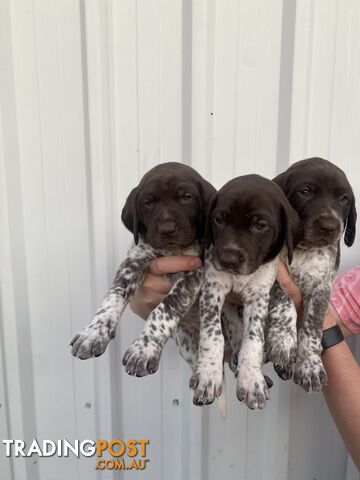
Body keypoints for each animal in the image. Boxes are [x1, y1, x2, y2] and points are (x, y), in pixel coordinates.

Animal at [71, 162, 215, 378]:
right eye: (147, 203)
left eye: (187, 197)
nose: (167, 229)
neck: (170, 251)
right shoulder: (133, 262)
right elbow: (113, 296)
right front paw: (93, 332)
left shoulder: (194, 271)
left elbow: (166, 306)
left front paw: (144, 349)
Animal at [190, 175, 300, 408]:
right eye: (218, 219)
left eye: (260, 225)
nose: (228, 259)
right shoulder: (213, 289)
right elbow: (213, 334)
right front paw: (208, 373)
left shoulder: (259, 296)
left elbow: (253, 339)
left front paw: (251, 379)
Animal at [266, 159, 356, 392]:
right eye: (305, 192)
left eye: (343, 198)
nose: (329, 226)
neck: (305, 248)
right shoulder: (273, 272)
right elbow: (283, 300)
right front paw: (283, 340)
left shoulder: (322, 288)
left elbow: (312, 328)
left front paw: (310, 367)